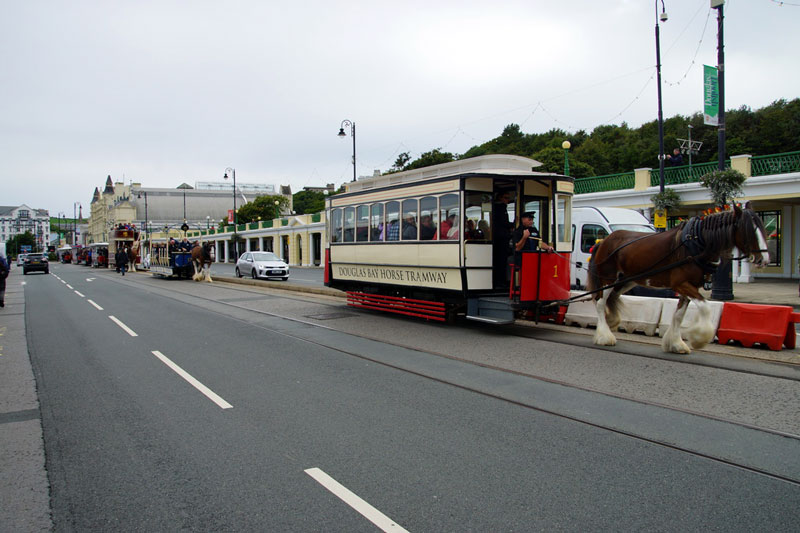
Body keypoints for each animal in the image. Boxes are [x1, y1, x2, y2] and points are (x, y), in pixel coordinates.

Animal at [587, 205, 769, 354]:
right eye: (749, 231)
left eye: (762, 228)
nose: (764, 260)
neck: (697, 244)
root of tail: (603, 241)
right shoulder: (681, 284)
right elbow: (705, 307)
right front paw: (699, 338)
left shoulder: (688, 287)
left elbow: (679, 315)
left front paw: (675, 343)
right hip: (608, 279)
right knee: (600, 302)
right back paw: (604, 336)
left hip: (626, 281)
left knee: (612, 298)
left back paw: (610, 322)